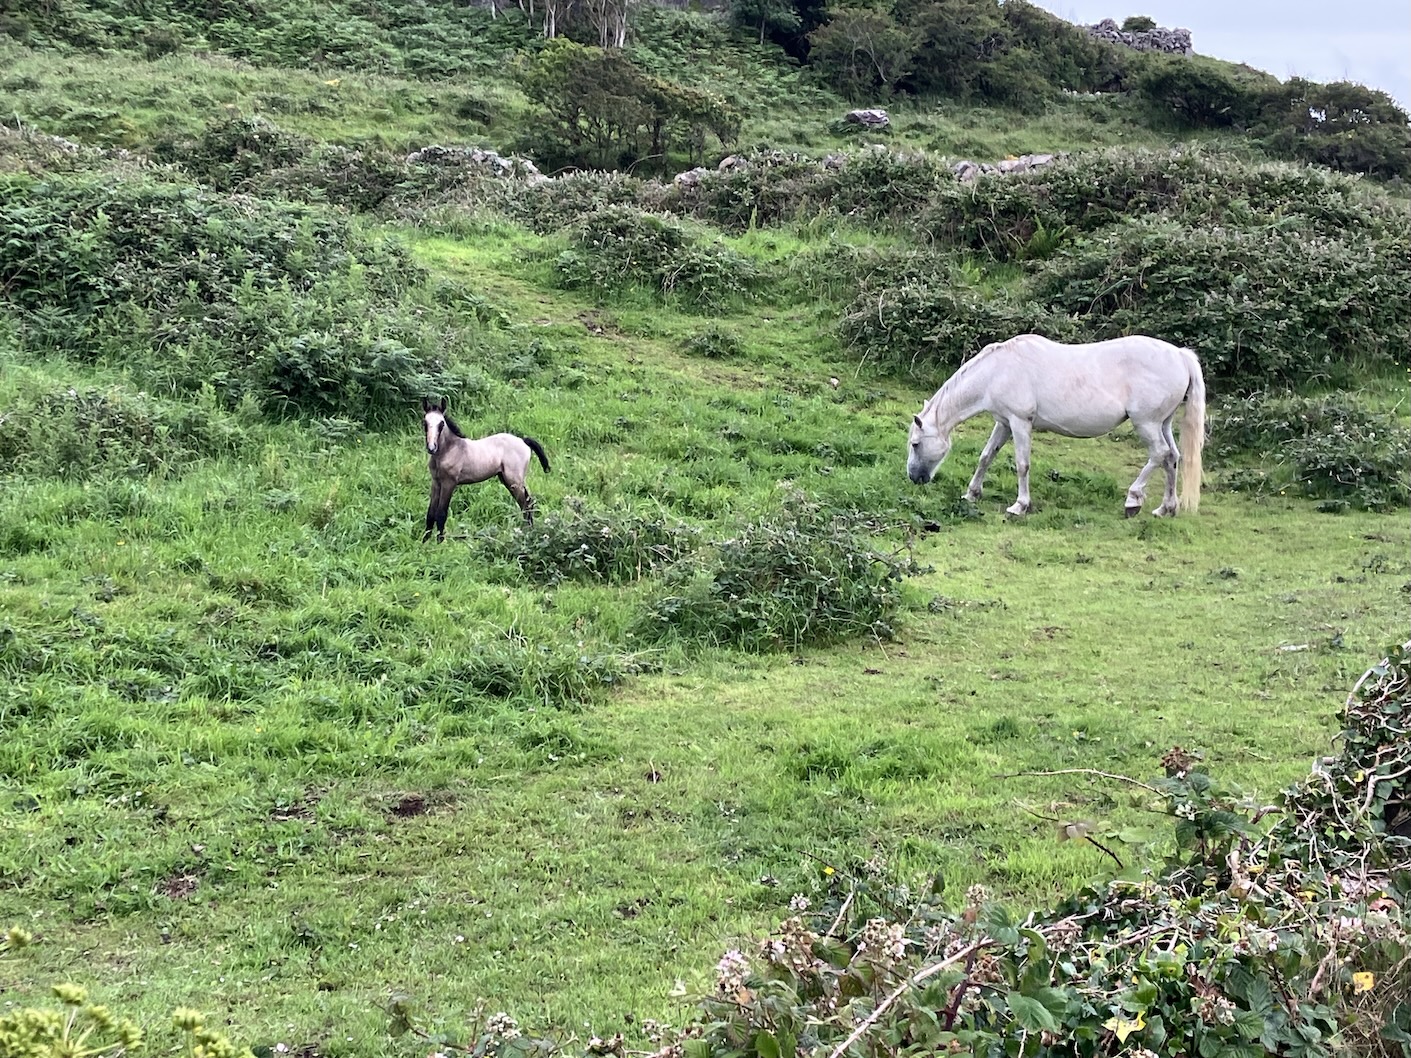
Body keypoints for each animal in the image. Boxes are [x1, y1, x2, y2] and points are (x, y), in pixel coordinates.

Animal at [420, 398, 550, 541]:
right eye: (425, 422)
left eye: (441, 424)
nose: (432, 448)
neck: (450, 450)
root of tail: (523, 440)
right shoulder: (436, 482)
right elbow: (430, 514)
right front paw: (425, 542)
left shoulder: (449, 483)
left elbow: (441, 514)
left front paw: (439, 543)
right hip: (507, 479)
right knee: (527, 503)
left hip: (514, 480)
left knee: (526, 505)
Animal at [906, 334, 1206, 517]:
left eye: (916, 444)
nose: (914, 478)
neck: (997, 371)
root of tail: (1180, 355)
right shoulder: (1004, 423)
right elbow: (986, 457)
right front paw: (971, 494)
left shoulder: (1020, 423)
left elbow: (1022, 465)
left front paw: (1019, 506)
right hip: (1163, 423)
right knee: (1172, 458)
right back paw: (1166, 509)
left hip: (1146, 423)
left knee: (1159, 454)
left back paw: (1133, 500)